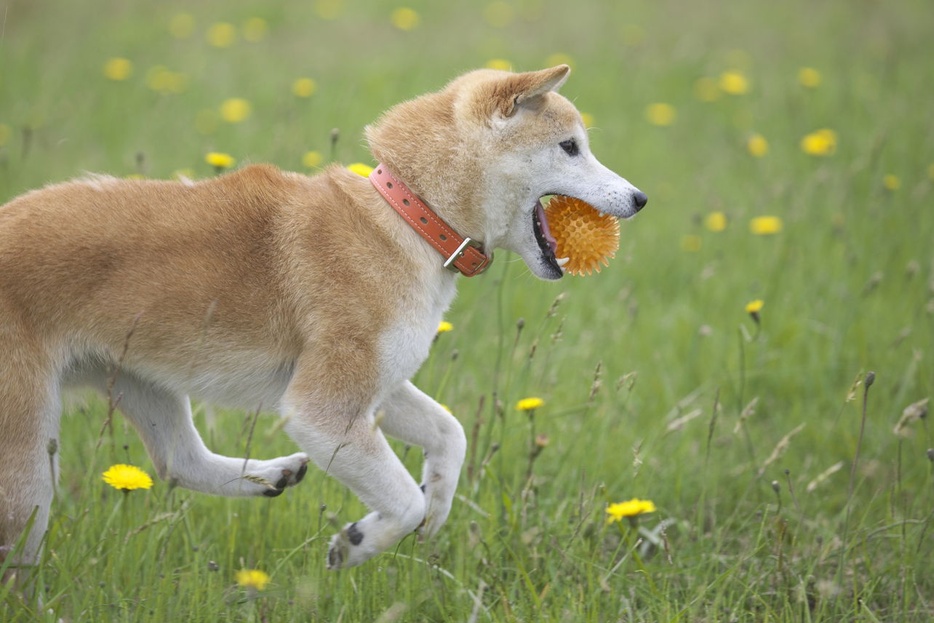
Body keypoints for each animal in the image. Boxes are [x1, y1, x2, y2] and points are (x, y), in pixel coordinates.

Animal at [0, 63, 648, 576]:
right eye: (570, 147)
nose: (641, 198)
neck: (406, 219)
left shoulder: (380, 383)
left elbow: (451, 434)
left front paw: (438, 507)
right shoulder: (325, 407)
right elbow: (402, 499)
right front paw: (361, 543)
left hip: (141, 378)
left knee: (179, 464)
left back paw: (270, 476)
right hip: (27, 465)